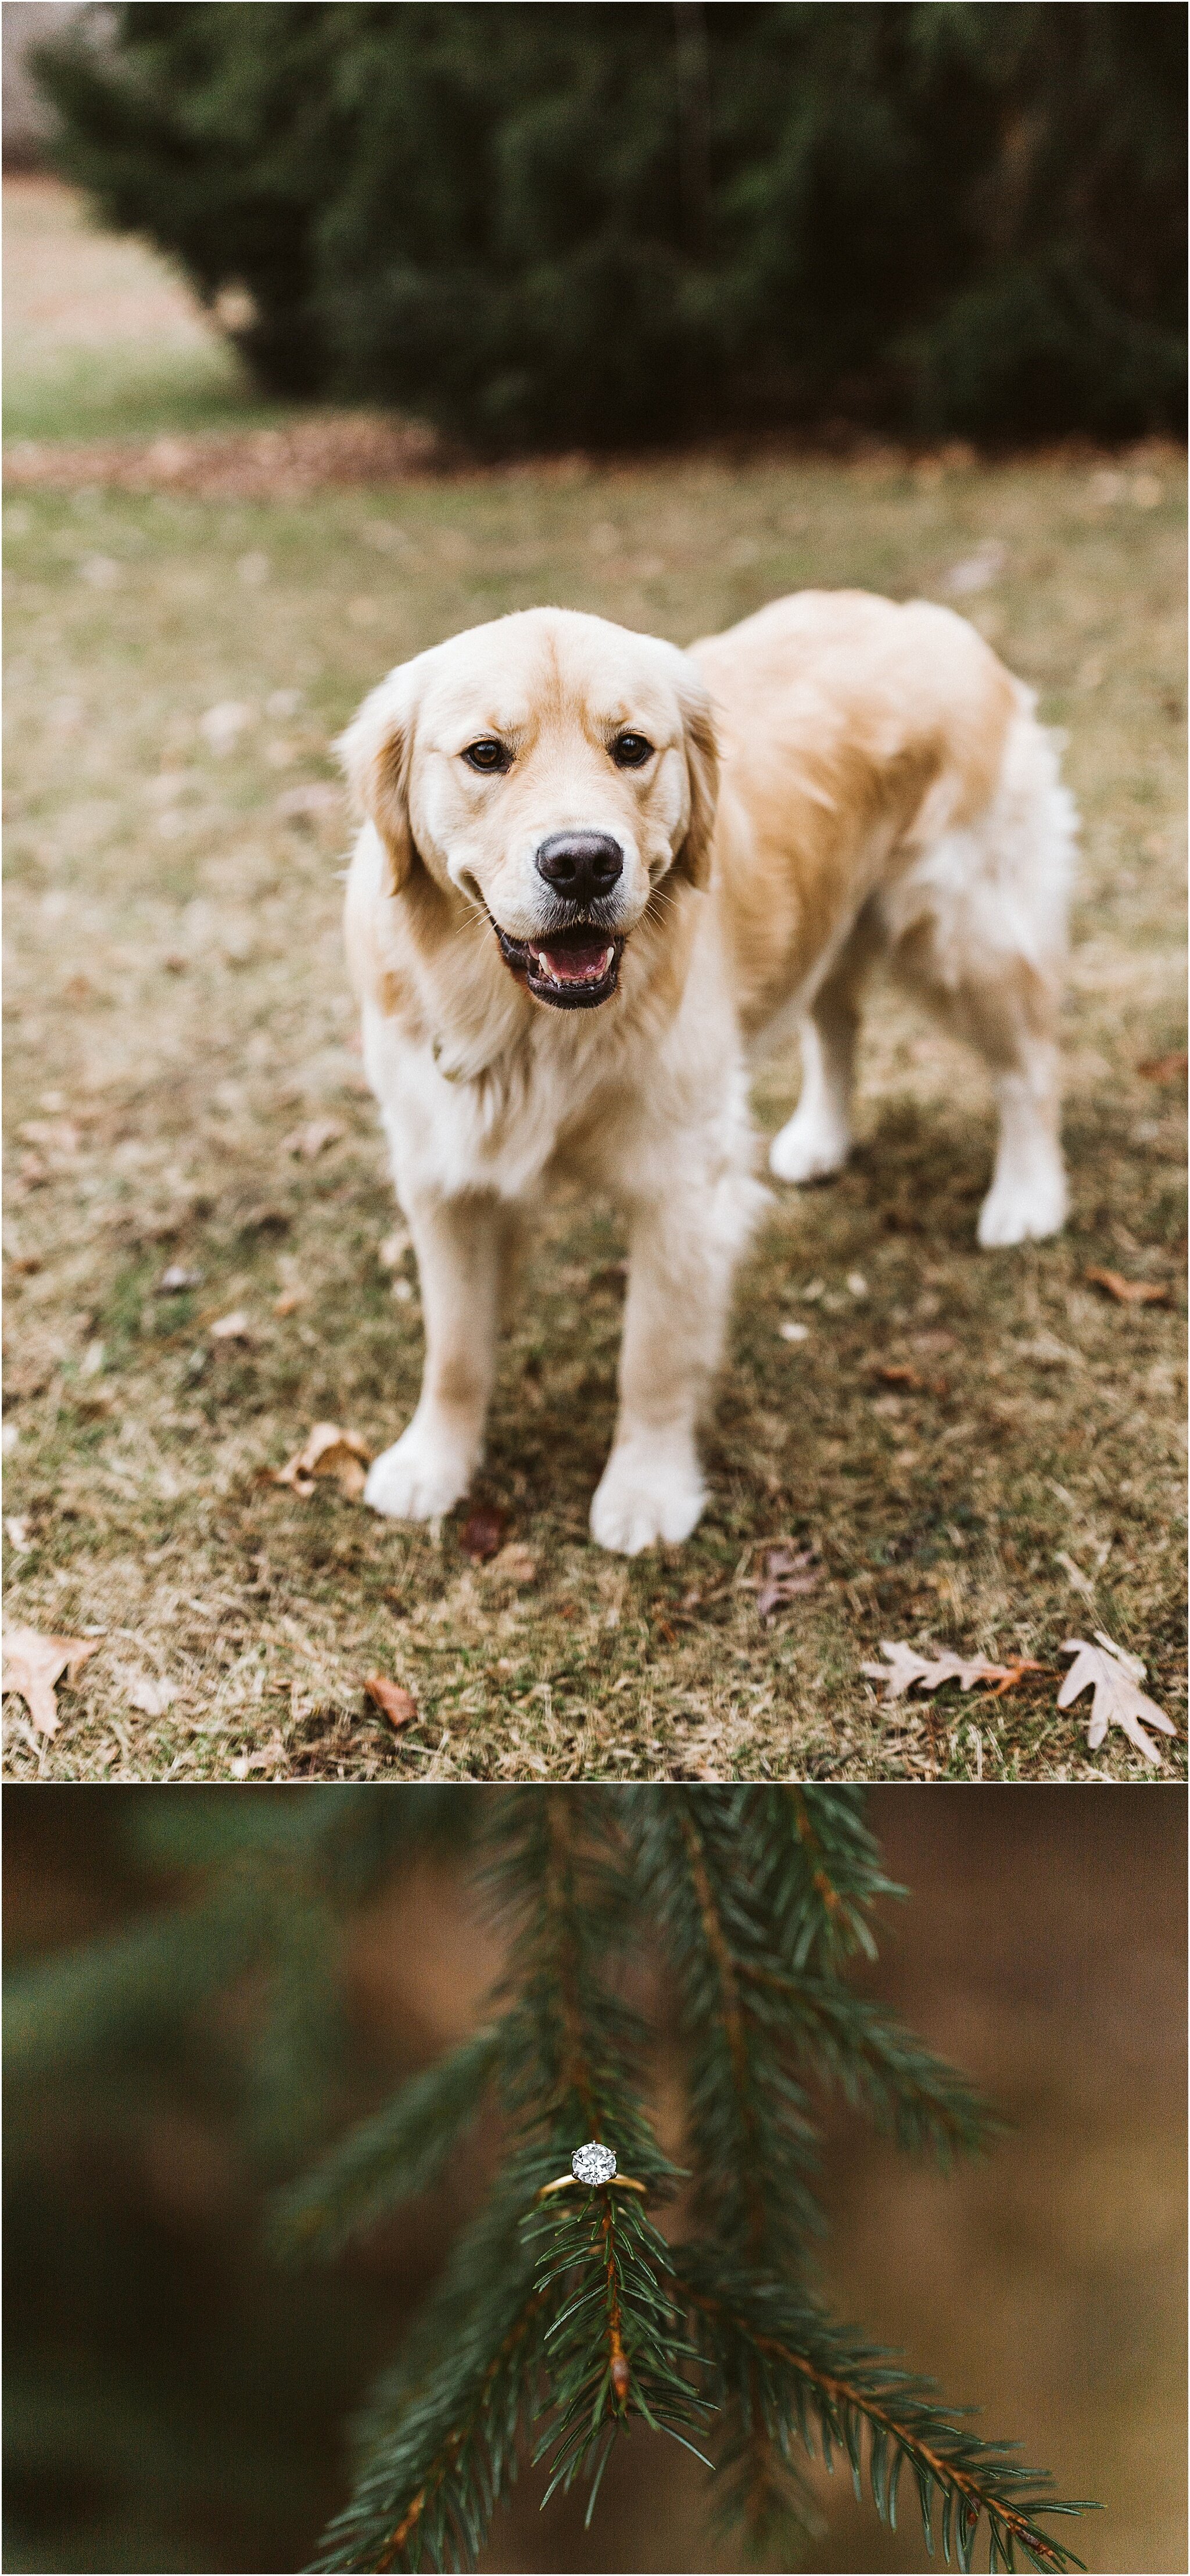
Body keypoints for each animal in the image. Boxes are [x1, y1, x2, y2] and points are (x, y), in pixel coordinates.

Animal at [340, 592, 1071, 1545]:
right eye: (486, 755)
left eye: (631, 747)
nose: (584, 862)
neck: (537, 1030)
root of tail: (924, 613)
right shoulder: (445, 1174)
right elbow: (454, 1348)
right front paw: (434, 1462)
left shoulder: (679, 1186)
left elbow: (651, 1357)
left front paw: (645, 1492)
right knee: (837, 1019)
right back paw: (820, 1138)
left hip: (961, 931)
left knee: (1030, 1062)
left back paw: (1027, 1195)